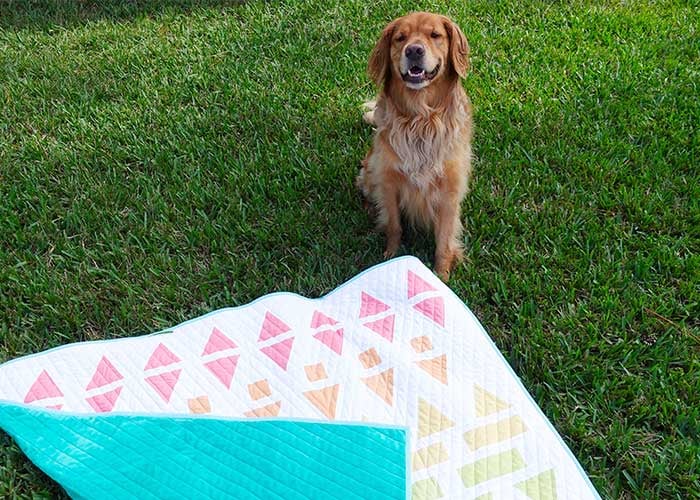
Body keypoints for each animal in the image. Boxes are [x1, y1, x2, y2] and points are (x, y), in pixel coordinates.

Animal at [358, 12, 474, 282]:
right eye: (400, 38)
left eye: (435, 35)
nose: (414, 50)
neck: (420, 118)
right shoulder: (388, 181)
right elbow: (394, 226)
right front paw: (390, 258)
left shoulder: (450, 191)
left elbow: (444, 241)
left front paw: (441, 276)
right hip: (369, 170)